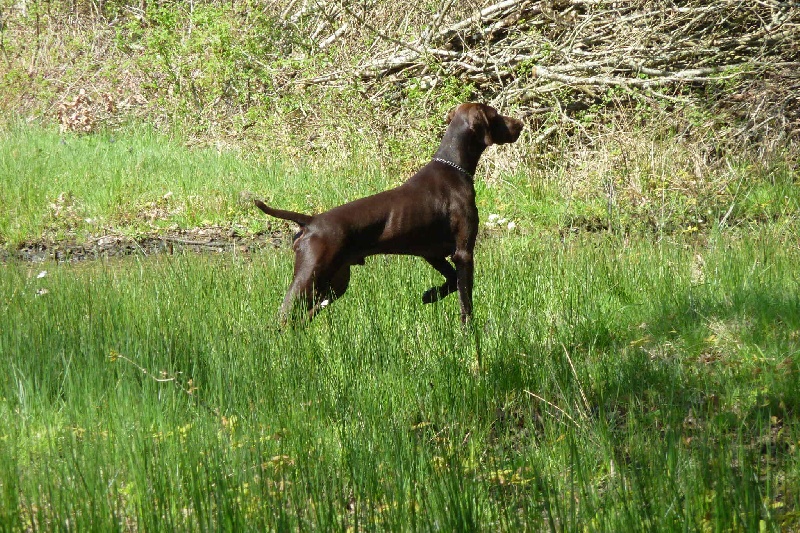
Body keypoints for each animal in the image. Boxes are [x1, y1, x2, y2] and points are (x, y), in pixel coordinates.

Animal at [253, 102, 520, 322]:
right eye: (496, 115)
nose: (519, 124)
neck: (454, 167)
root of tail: (310, 221)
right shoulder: (464, 253)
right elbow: (466, 301)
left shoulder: (432, 253)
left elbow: (452, 282)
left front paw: (430, 295)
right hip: (310, 276)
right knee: (284, 316)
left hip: (336, 283)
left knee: (303, 317)